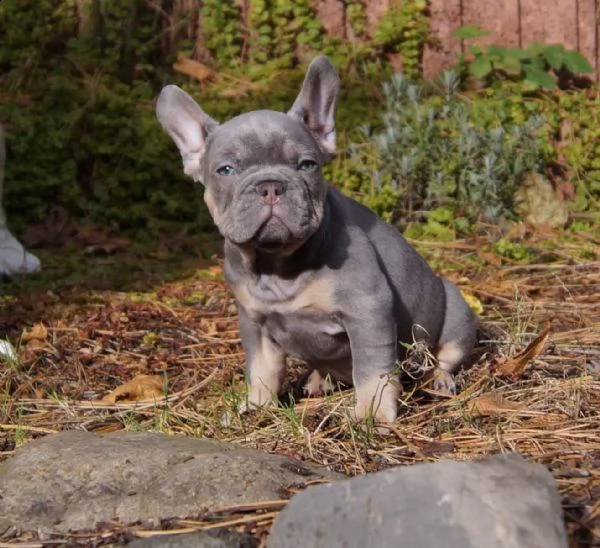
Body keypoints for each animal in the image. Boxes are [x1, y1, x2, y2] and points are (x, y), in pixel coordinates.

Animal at [156, 55, 478, 424]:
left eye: (307, 165)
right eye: (226, 170)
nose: (270, 185)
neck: (276, 266)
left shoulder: (367, 311)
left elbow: (371, 369)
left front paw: (372, 414)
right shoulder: (255, 322)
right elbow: (261, 369)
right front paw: (257, 406)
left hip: (454, 311)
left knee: (445, 355)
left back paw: (438, 379)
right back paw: (316, 381)